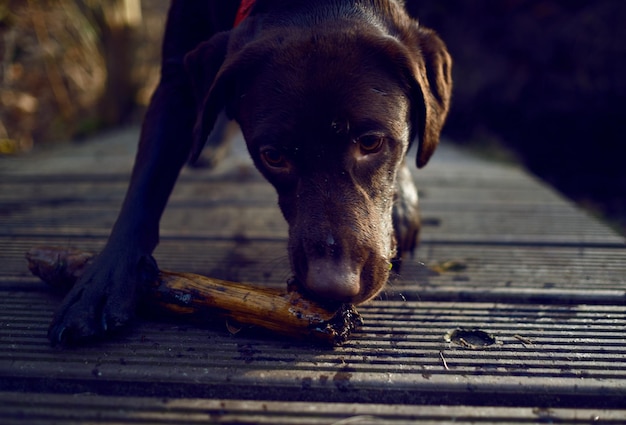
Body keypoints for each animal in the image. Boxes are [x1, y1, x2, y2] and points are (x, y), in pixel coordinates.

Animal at [47, 0, 448, 342]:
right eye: (273, 156)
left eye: (370, 143)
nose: (332, 287)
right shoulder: (175, 76)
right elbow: (146, 185)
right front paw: (103, 281)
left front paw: (402, 202)